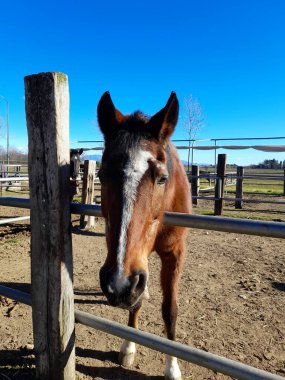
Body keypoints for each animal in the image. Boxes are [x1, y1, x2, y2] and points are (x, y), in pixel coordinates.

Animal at [96, 92, 190, 380]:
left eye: (162, 178)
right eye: (101, 175)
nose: (118, 284)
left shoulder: (174, 253)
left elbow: (170, 310)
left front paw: (172, 367)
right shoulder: (132, 268)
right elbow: (135, 303)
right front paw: (128, 347)